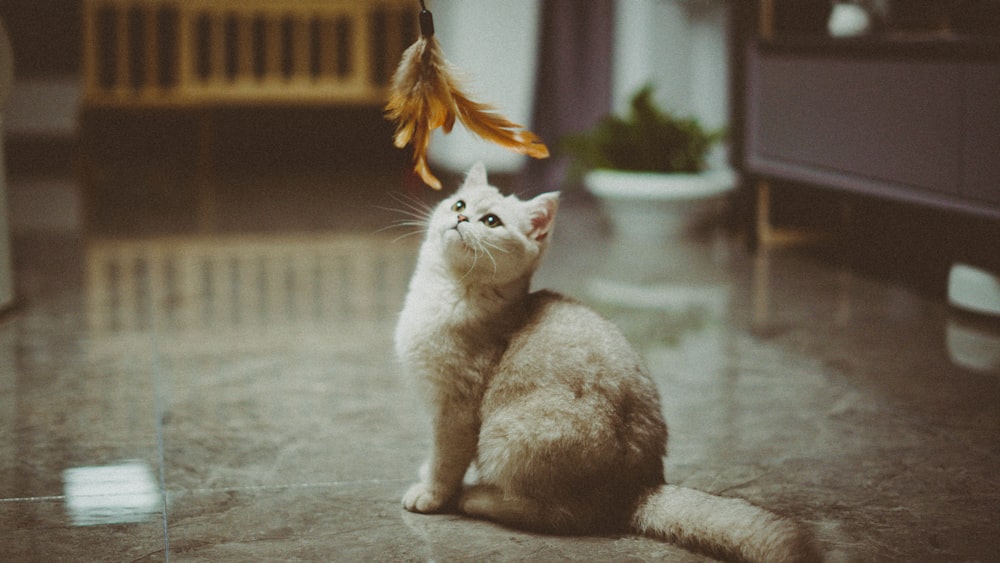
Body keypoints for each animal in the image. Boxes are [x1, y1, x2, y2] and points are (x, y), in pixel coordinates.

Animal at [392, 163, 820, 563]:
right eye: (459, 204)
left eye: (492, 221)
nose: (461, 219)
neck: (445, 293)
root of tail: (638, 487)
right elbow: (436, 458)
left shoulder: (455, 411)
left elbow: (446, 462)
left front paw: (431, 494)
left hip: (505, 439)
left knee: (554, 516)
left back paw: (479, 498)